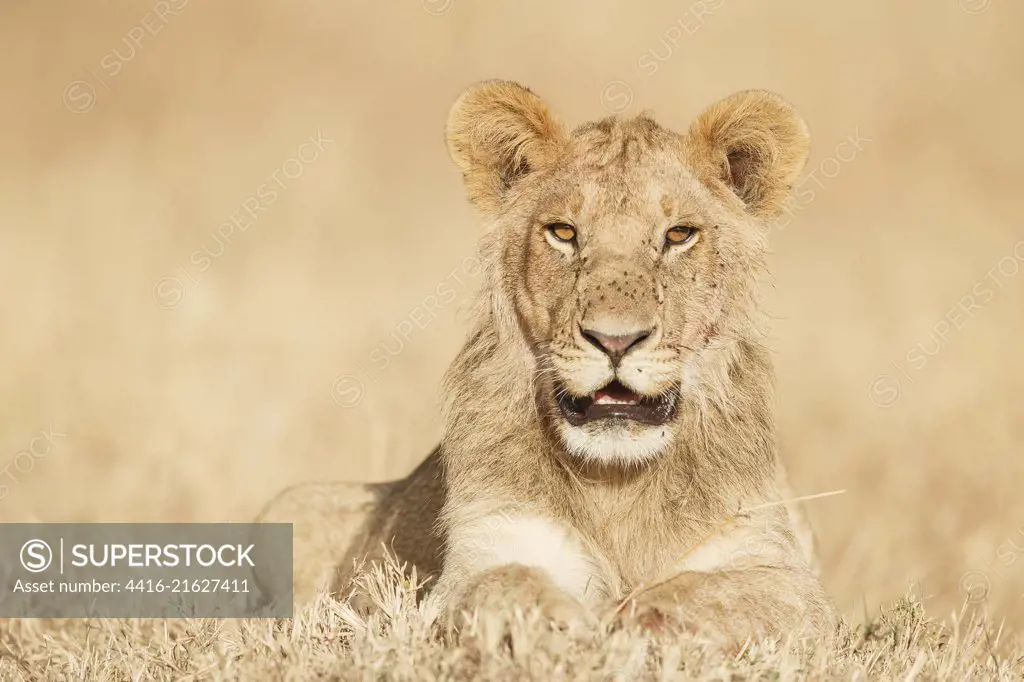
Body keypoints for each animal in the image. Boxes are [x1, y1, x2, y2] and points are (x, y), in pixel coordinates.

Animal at [253, 79, 831, 643]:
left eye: (678, 235)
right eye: (564, 232)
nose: (615, 340)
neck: (616, 482)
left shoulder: (781, 574)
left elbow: (715, 595)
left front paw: (630, 621)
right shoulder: (485, 549)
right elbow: (502, 584)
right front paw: (561, 627)